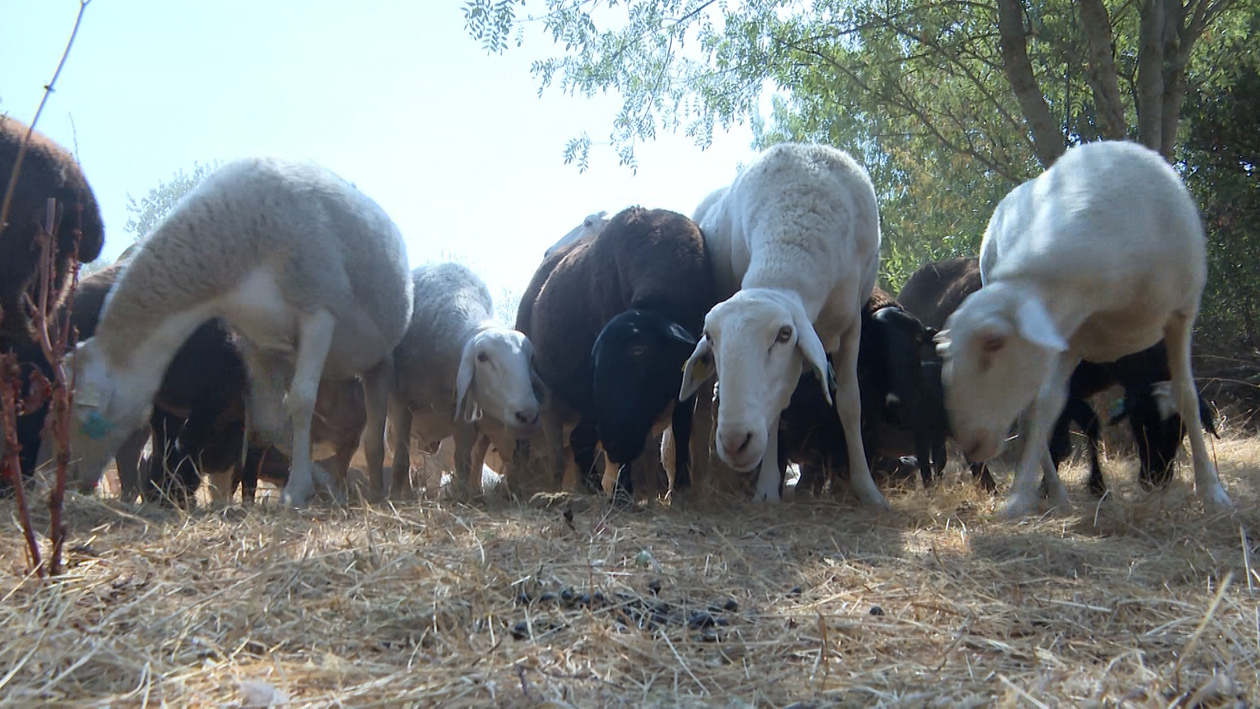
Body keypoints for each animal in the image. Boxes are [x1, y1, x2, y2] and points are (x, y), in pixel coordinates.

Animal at [65, 157, 413, 507]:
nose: (78, 480)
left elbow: (302, 401)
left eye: (89, 418)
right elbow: (270, 421)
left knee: (375, 432)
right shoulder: (257, 341)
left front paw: (297, 490)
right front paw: (316, 483)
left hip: (378, 356)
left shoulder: (318, 311)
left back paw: (377, 492)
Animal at [388, 262, 542, 499]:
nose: (527, 415)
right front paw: (399, 494)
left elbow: (464, 461)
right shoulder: (401, 403)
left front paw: (462, 495)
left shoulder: (463, 413)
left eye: (531, 358)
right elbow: (401, 458)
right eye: (482, 357)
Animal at [518, 206, 715, 500]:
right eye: (597, 366)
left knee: (580, 439)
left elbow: (681, 426)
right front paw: (624, 492)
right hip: (546, 396)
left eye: (641, 355)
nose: (615, 446)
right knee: (557, 448)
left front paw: (680, 487)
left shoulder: (685, 371)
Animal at [679, 143, 890, 508]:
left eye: (784, 334)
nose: (734, 442)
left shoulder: (853, 325)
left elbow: (850, 403)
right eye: (710, 337)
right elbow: (775, 413)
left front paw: (867, 489)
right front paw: (766, 489)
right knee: (704, 406)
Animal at [935, 140, 1233, 518]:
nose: (969, 443)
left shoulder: (1180, 316)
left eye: (994, 341)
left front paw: (1212, 491)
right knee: (1033, 415)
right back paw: (1052, 492)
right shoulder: (1068, 332)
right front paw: (1019, 498)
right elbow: (1048, 408)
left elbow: (1187, 397)